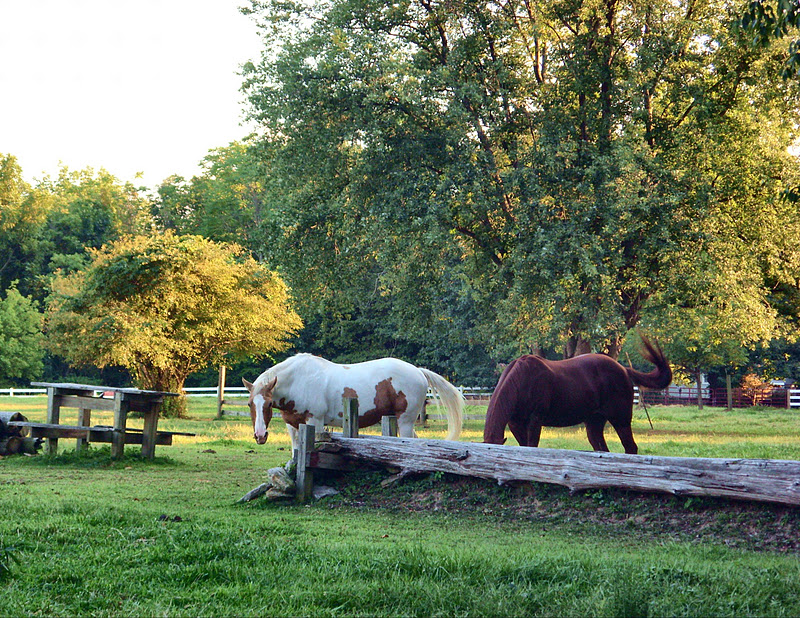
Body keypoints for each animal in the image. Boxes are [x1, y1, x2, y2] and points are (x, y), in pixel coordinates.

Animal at [243, 353, 464, 451]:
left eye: (268, 404)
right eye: (250, 404)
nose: (260, 435)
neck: (298, 379)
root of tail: (418, 371)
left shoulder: (315, 422)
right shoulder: (293, 426)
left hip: (406, 421)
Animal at [483, 336, 672, 454]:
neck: (523, 379)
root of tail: (624, 369)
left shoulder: (535, 421)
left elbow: (532, 446)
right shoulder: (515, 424)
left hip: (621, 419)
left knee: (630, 448)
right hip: (594, 423)